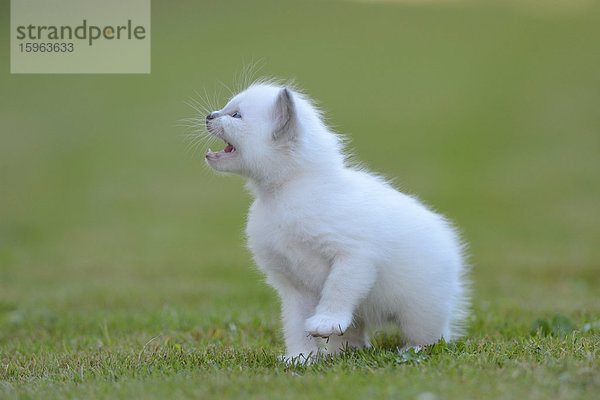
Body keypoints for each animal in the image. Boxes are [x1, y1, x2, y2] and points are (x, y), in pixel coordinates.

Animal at [204, 80, 472, 362]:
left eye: (236, 115)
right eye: (226, 109)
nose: (209, 116)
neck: (288, 192)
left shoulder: (354, 255)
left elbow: (337, 289)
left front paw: (326, 322)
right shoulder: (292, 284)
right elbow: (295, 323)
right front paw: (301, 358)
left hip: (422, 308)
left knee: (433, 335)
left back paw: (413, 350)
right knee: (355, 332)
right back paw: (342, 352)